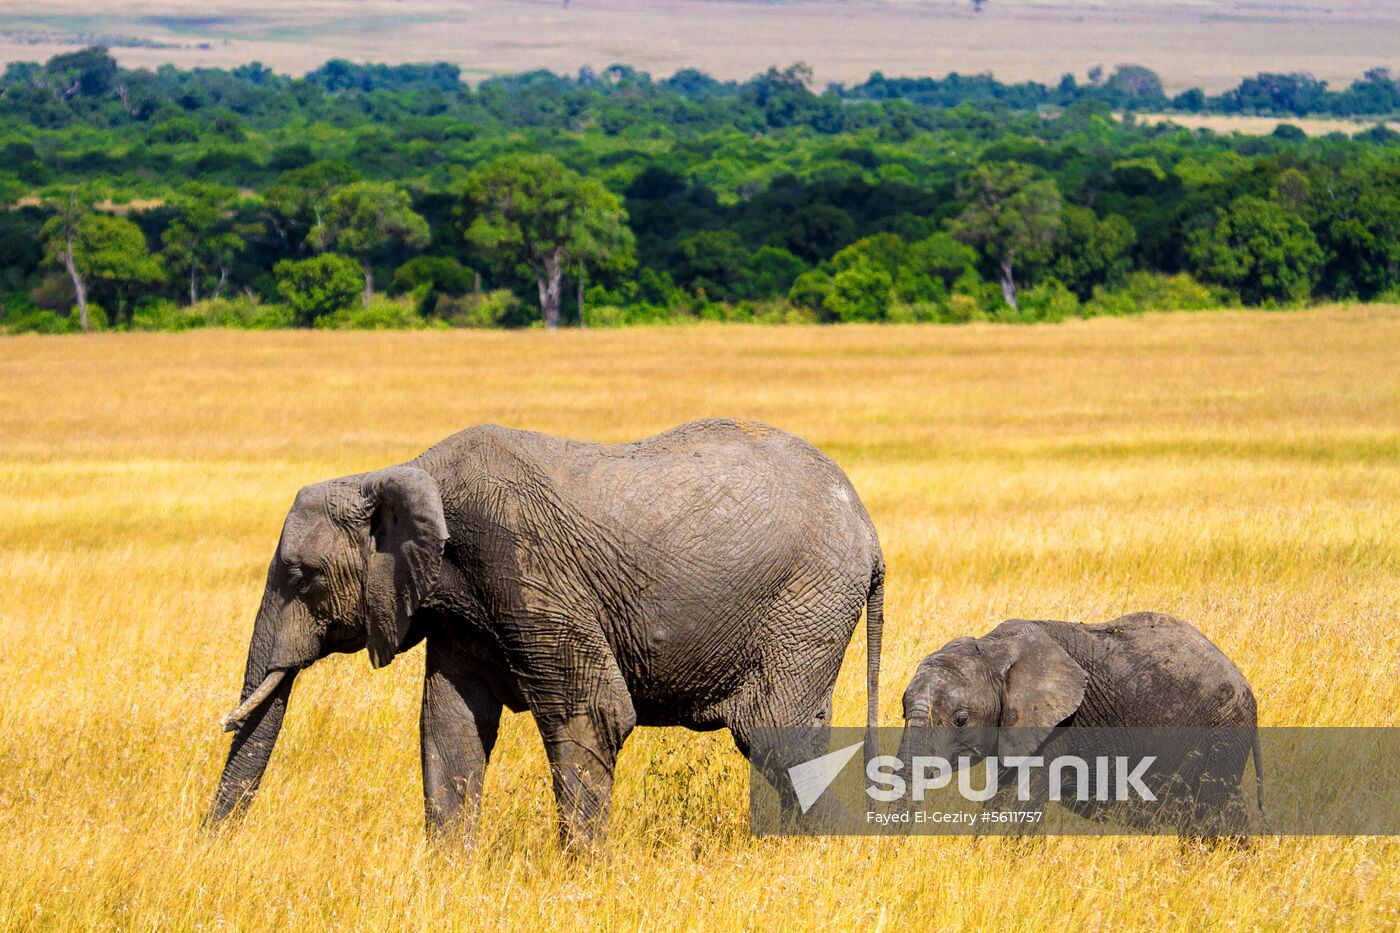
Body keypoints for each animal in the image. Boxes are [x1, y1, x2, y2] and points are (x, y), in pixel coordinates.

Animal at [207, 417, 884, 840]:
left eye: (302, 577)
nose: (211, 847)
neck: (402, 472)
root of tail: (870, 531)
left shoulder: (521, 562)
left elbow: (593, 713)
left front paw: (582, 876)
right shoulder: (460, 610)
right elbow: (449, 725)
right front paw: (449, 875)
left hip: (806, 601)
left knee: (775, 737)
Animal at [901, 610, 1265, 829]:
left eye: (961, 720)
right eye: (902, 710)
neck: (994, 647)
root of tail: (1246, 686)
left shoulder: (1057, 727)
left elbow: (1018, 805)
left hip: (1221, 732)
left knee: (1210, 814)